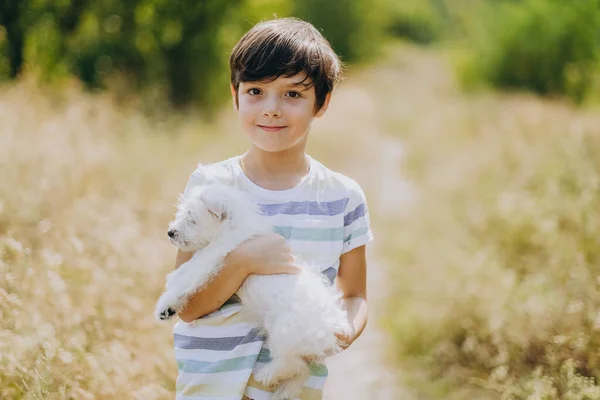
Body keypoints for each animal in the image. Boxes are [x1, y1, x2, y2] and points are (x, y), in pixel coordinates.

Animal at [156, 183, 352, 398]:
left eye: (192, 219)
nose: (170, 232)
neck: (232, 229)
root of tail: (331, 327)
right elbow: (185, 272)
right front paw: (170, 300)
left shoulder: (211, 260)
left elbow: (187, 277)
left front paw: (165, 305)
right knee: (301, 369)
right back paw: (284, 390)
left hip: (283, 332)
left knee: (292, 364)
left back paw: (267, 376)